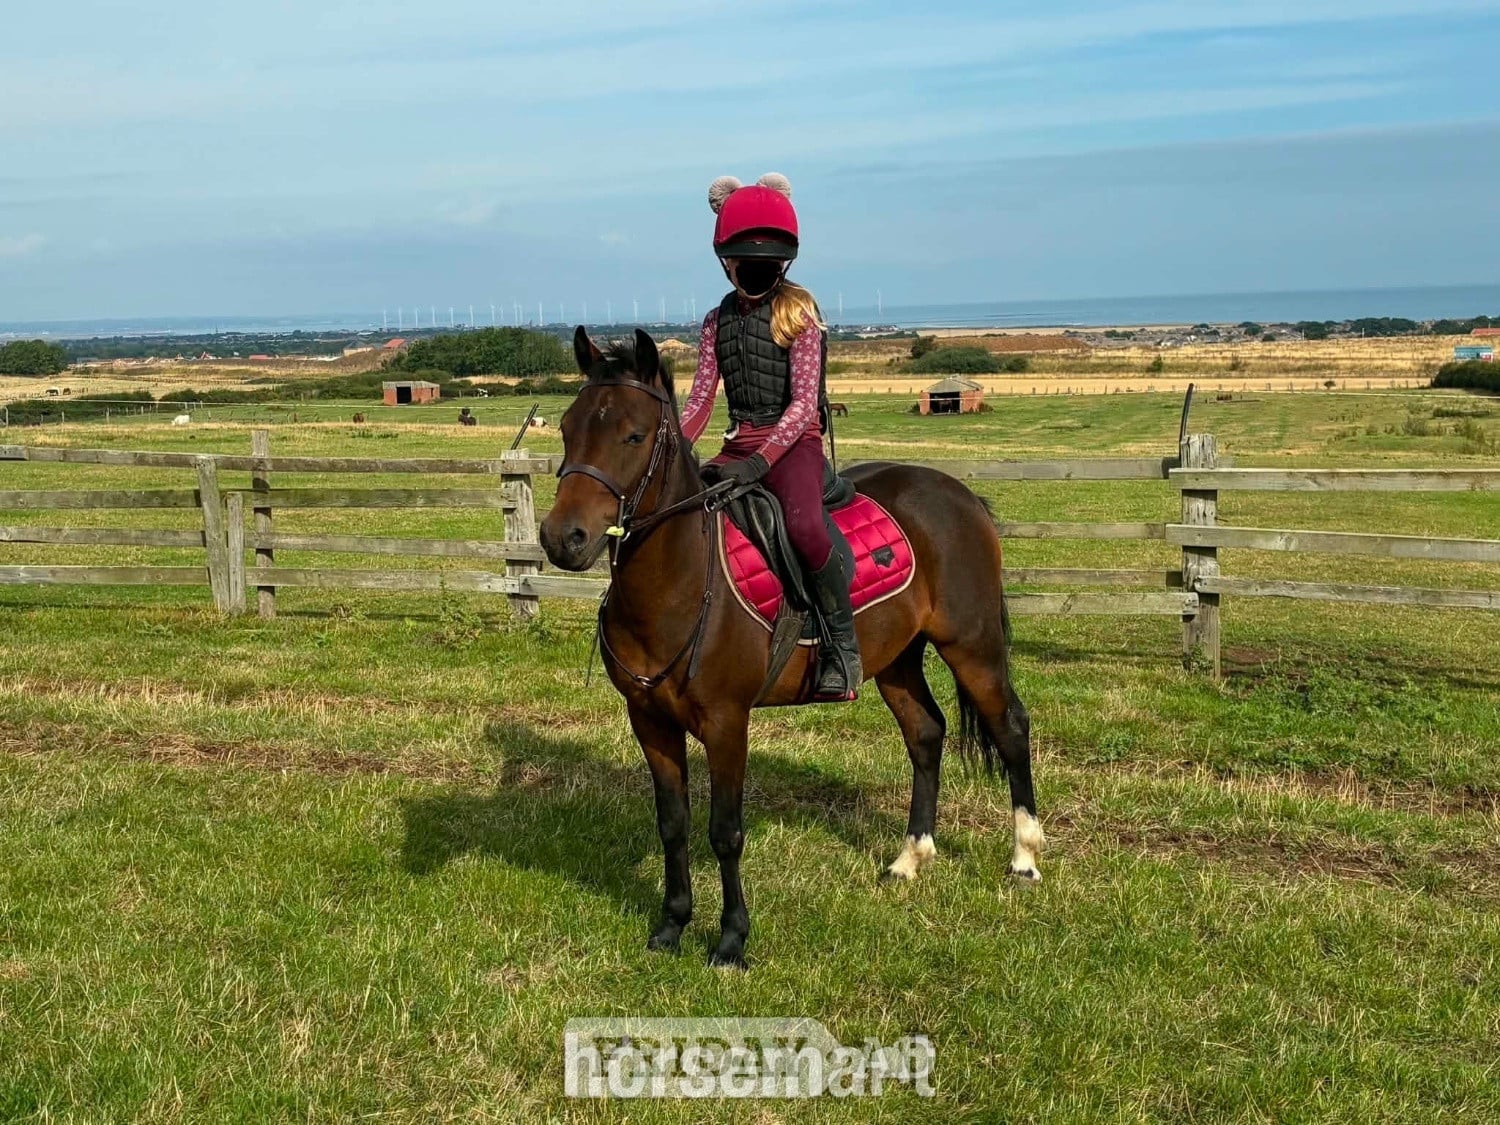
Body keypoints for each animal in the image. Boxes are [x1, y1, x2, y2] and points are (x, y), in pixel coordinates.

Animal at [541, 327, 1040, 967]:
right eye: (566, 427)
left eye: (634, 434)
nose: (564, 538)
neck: (681, 580)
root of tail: (961, 496)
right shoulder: (649, 721)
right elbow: (672, 824)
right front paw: (672, 925)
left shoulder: (727, 723)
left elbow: (725, 831)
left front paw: (731, 940)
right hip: (896, 660)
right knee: (926, 734)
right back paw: (910, 859)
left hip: (972, 646)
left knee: (1011, 729)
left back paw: (1024, 856)